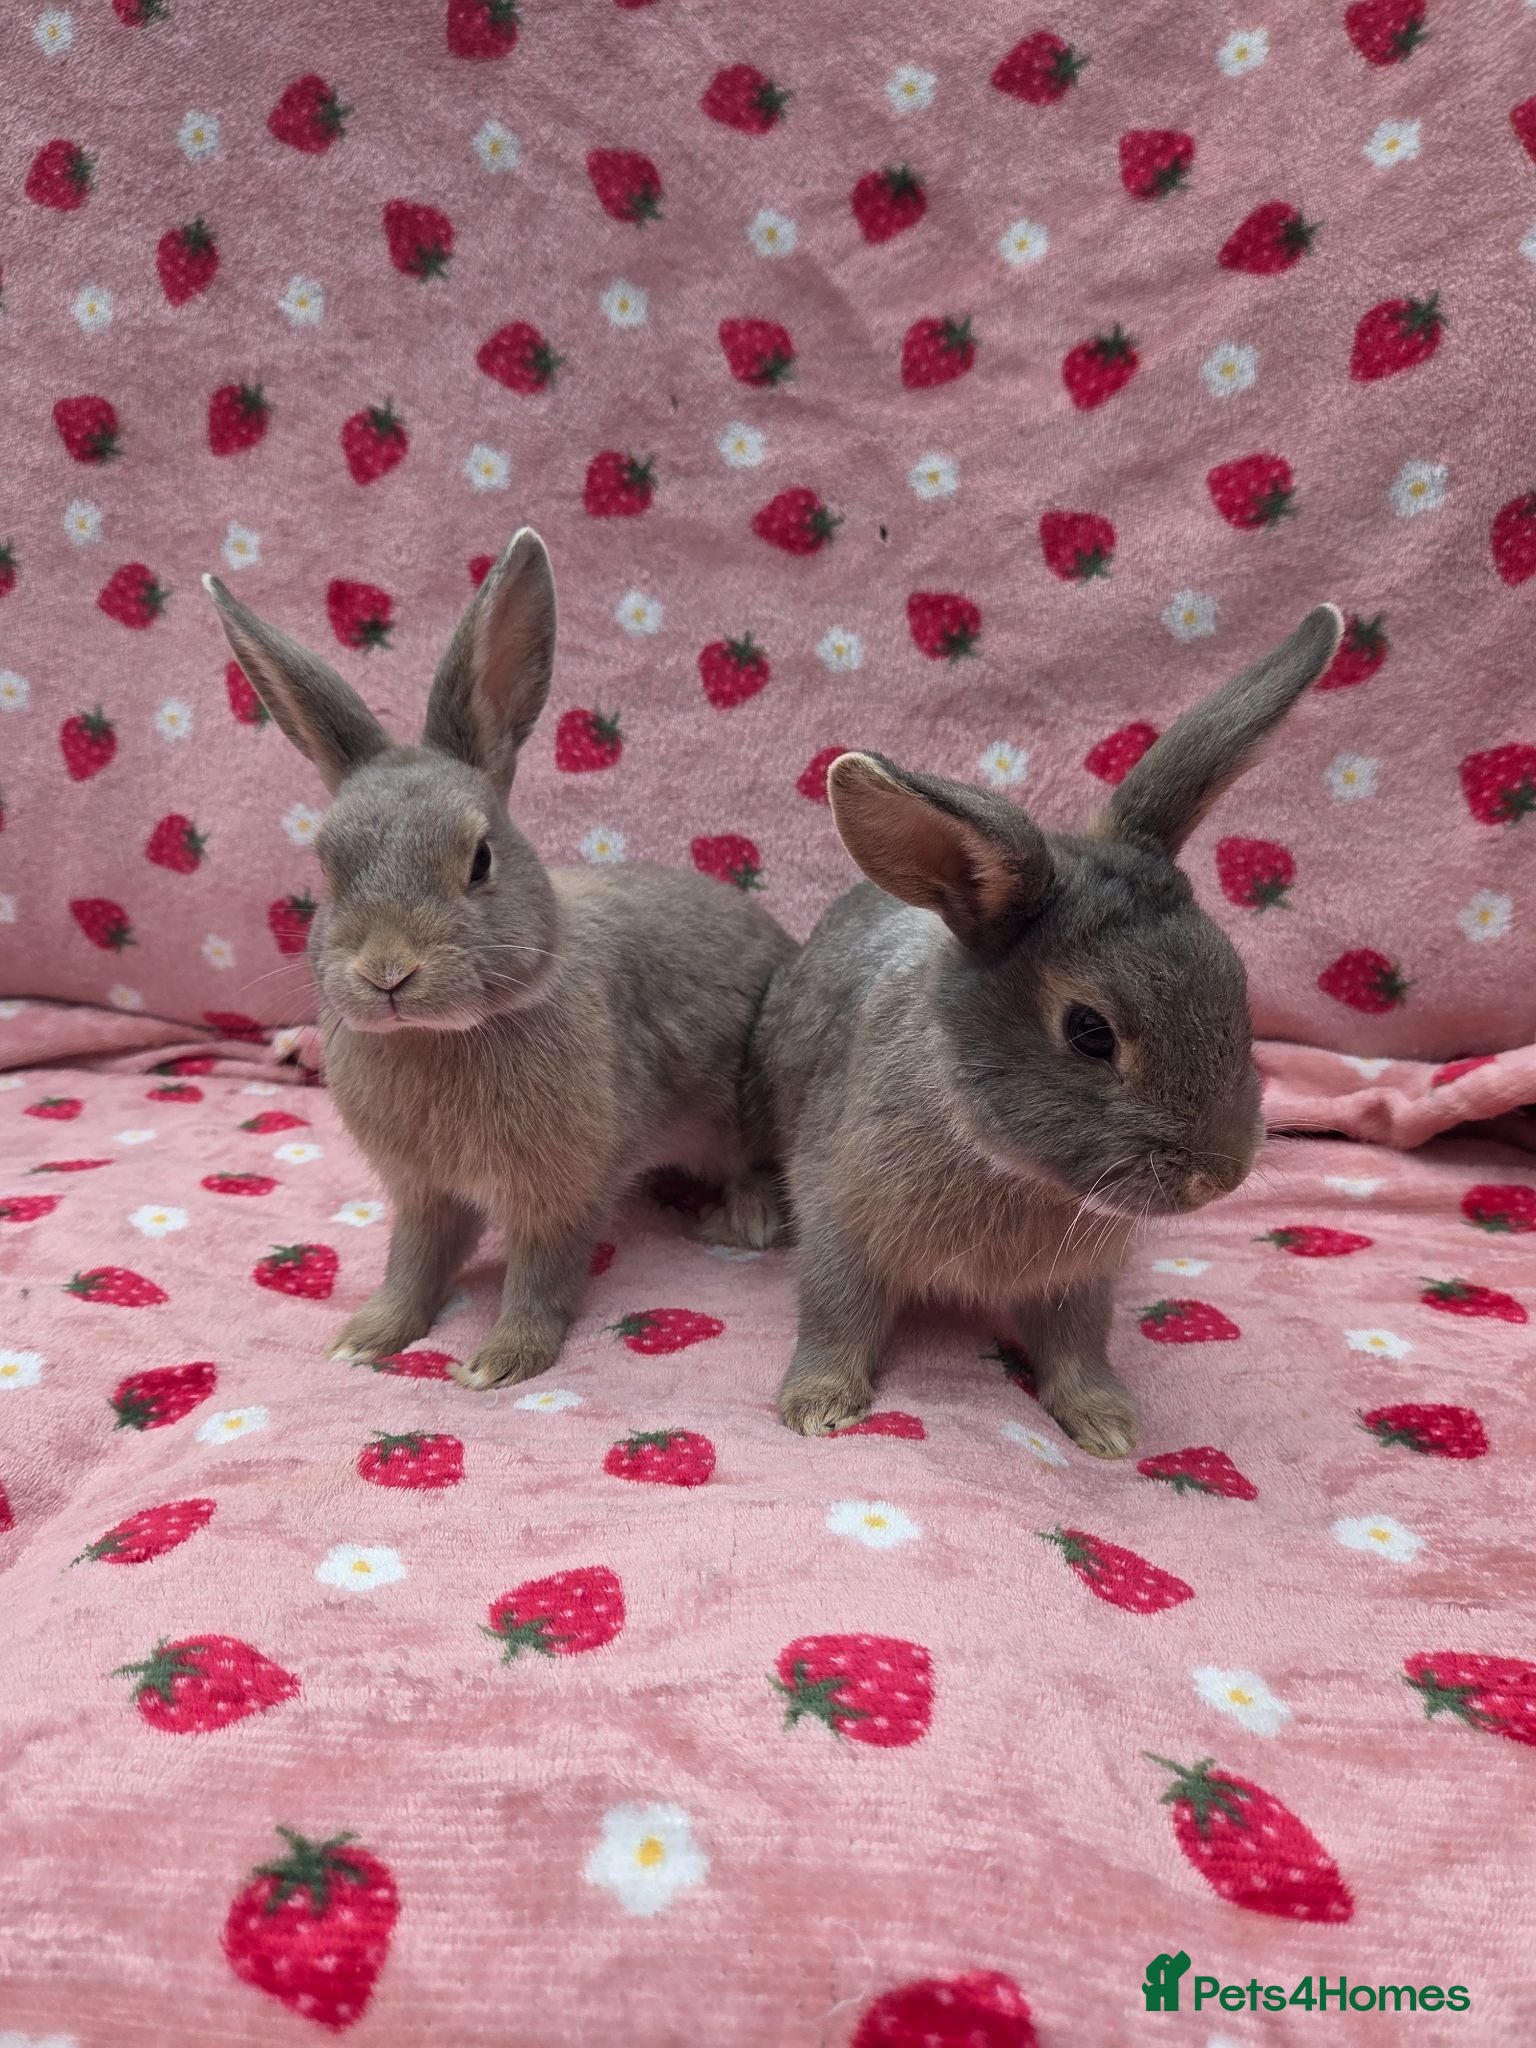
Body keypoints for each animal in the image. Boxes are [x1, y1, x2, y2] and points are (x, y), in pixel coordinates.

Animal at [203, 529, 797, 1391]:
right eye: (328, 866)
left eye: (480, 859)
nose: (387, 971)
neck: (444, 1034)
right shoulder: (424, 1194)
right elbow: (412, 1263)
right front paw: (367, 1336)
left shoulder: (560, 1194)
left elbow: (541, 1276)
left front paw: (502, 1360)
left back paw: (746, 1217)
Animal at [754, 604, 1343, 1454]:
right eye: (1090, 1030)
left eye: (1236, 983)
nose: (1222, 1176)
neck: (1003, 1160)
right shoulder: (838, 1219)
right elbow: (835, 1316)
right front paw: (818, 1407)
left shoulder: (1078, 1281)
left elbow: (1076, 1343)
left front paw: (1108, 1425)